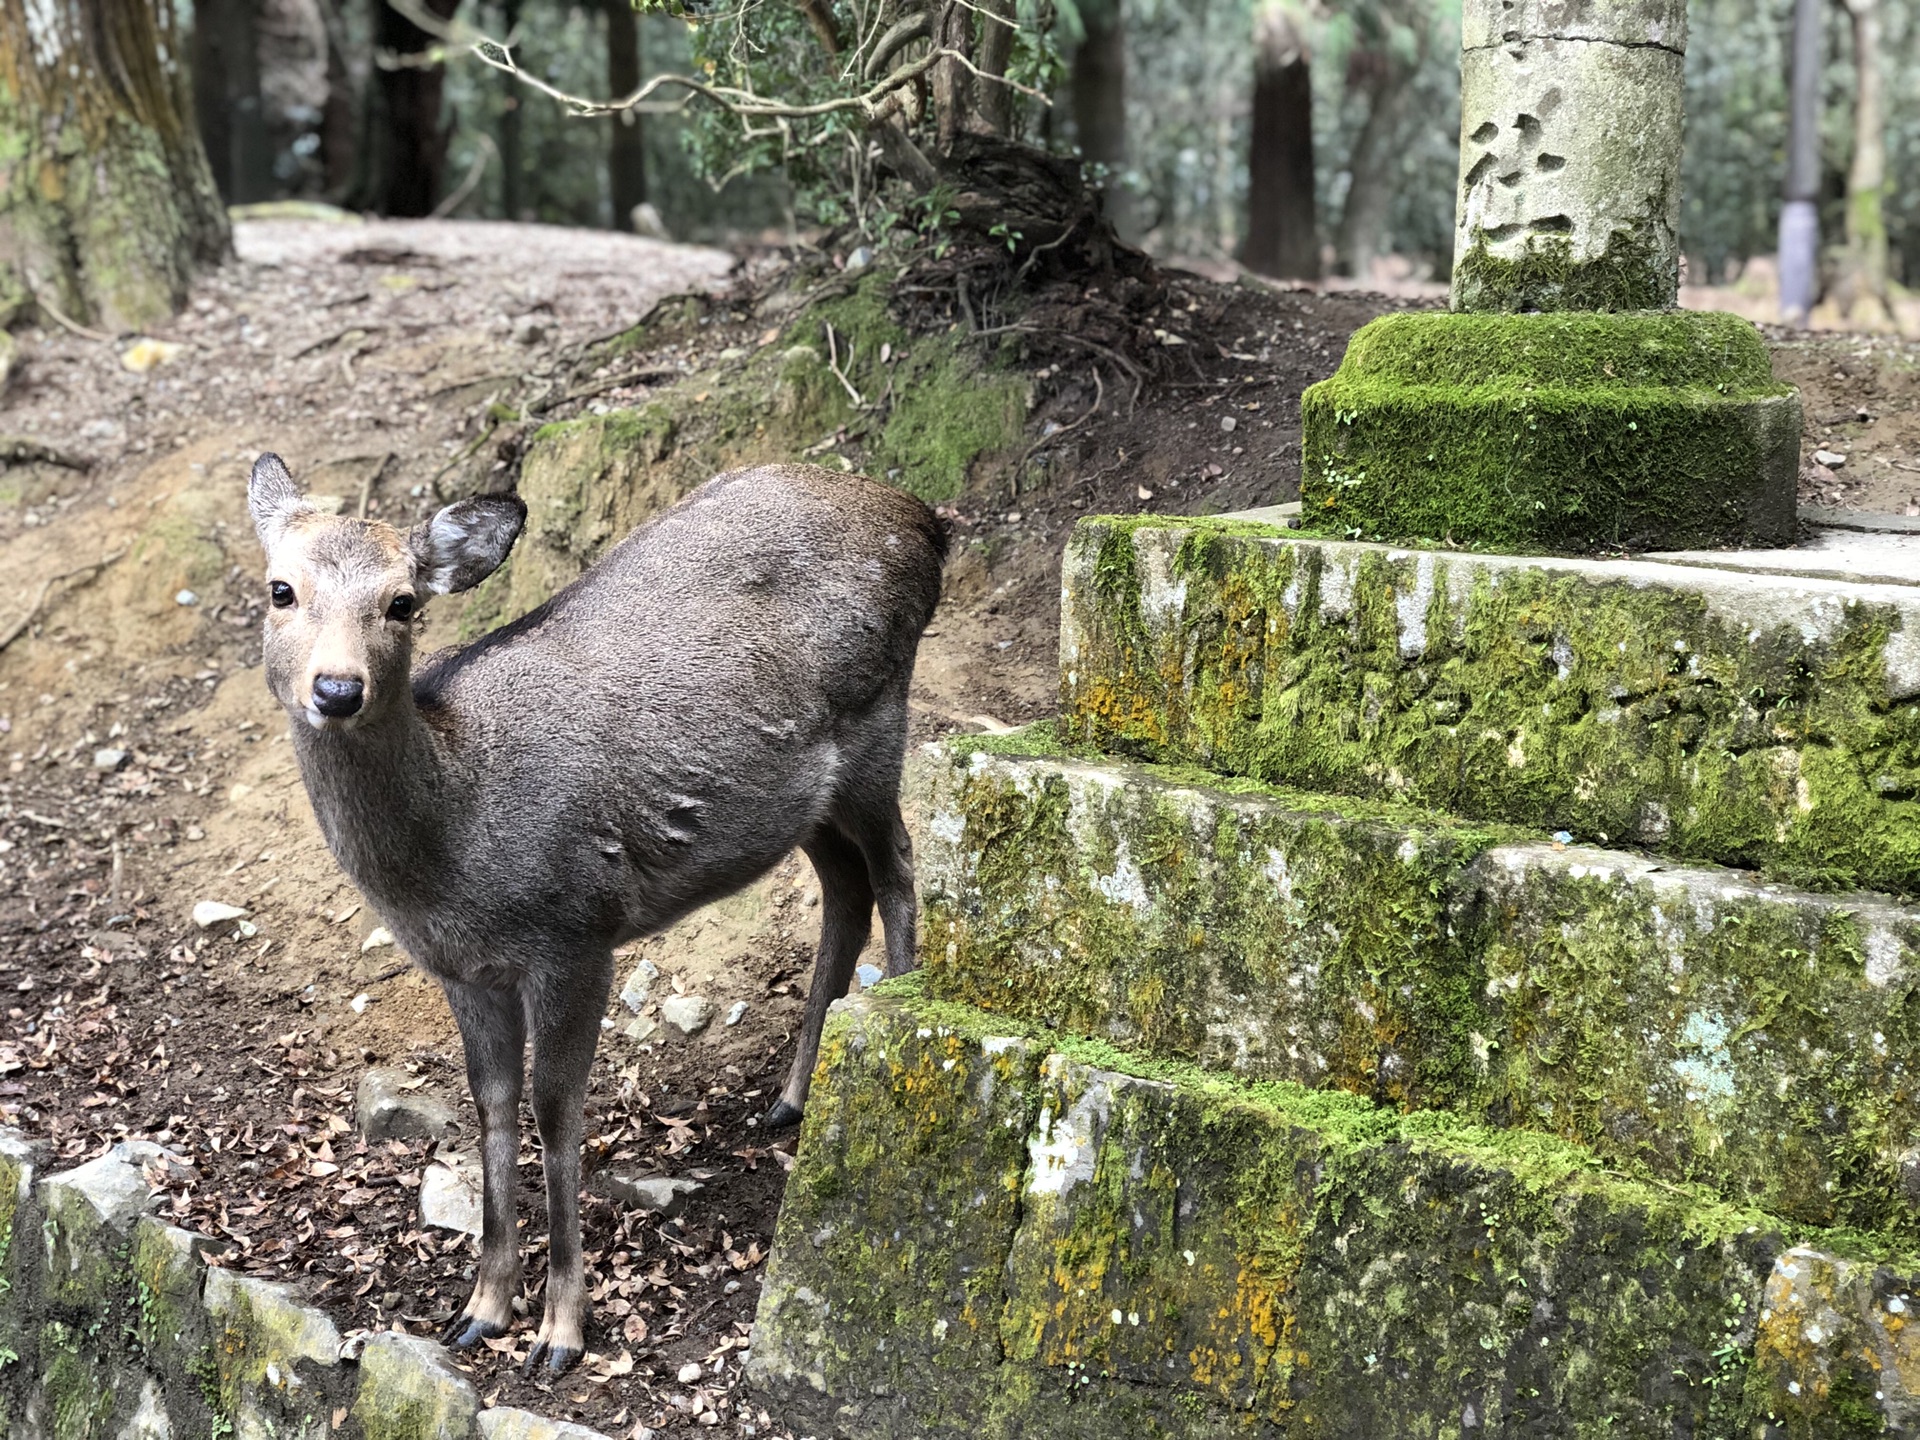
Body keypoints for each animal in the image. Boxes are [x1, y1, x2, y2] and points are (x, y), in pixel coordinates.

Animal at [243, 458, 948, 1374]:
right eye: (280, 589)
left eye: (401, 602)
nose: (337, 688)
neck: (454, 859)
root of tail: (925, 519)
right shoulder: (463, 971)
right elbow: (491, 1104)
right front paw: (480, 1310)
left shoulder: (575, 933)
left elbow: (555, 1109)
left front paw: (561, 1331)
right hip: (808, 798)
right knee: (846, 889)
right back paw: (792, 1098)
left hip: (878, 719)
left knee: (897, 867)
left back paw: (886, 1029)